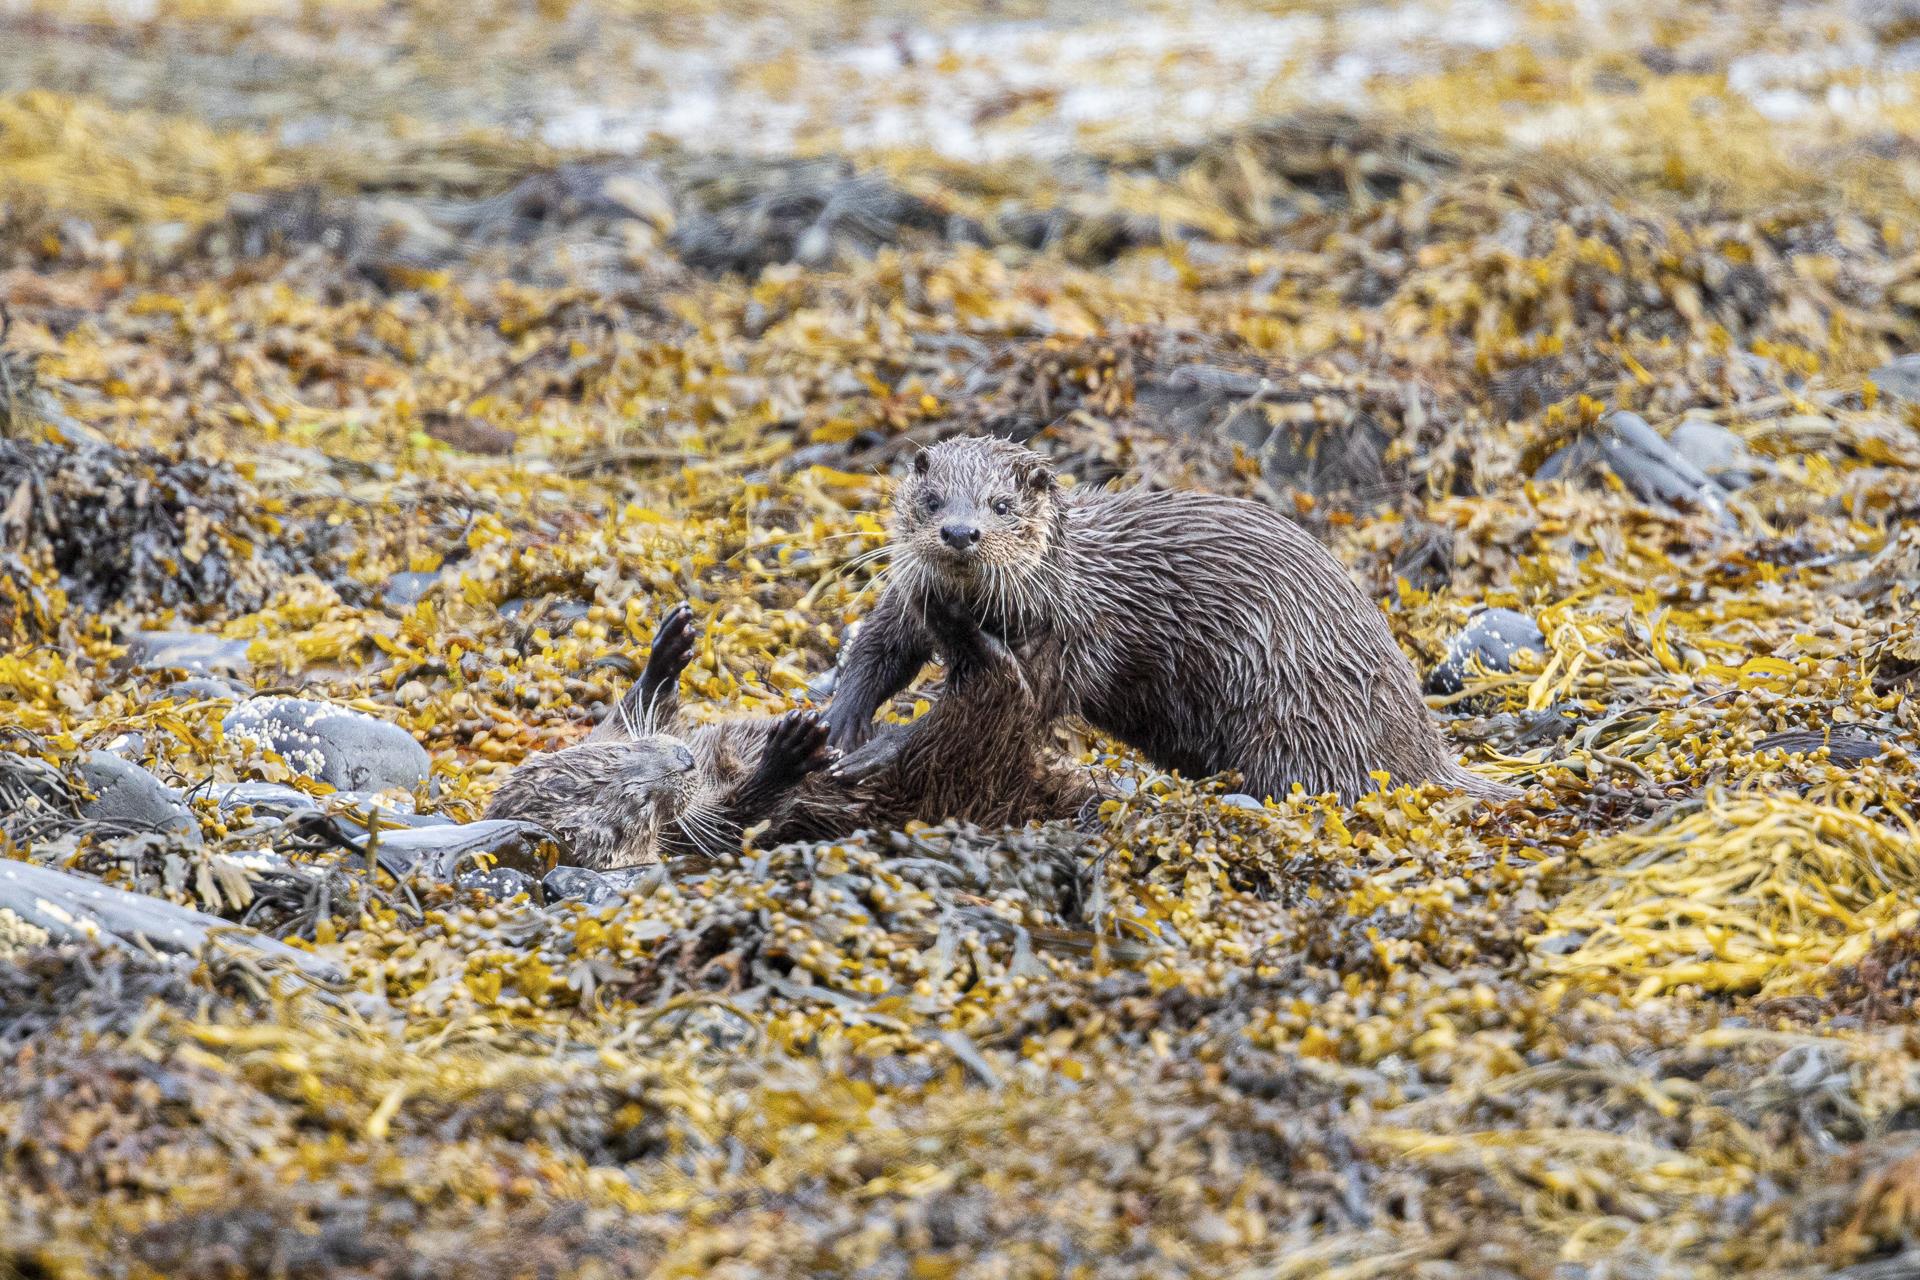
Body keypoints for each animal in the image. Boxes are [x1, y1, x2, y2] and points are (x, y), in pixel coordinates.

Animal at [487, 602, 1105, 871]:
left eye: (626, 755)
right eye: (637, 801)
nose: (684, 761)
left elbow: (631, 710)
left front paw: (666, 650)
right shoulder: (688, 843)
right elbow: (744, 821)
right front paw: (785, 755)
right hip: (968, 750)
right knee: (997, 687)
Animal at [825, 435, 1512, 805]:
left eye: (1001, 505)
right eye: (931, 499)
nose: (960, 533)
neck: (1068, 582)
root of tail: (1425, 746)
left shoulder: (1075, 635)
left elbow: (984, 707)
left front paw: (876, 750)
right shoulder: (911, 591)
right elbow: (881, 642)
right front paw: (840, 722)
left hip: (1304, 715)